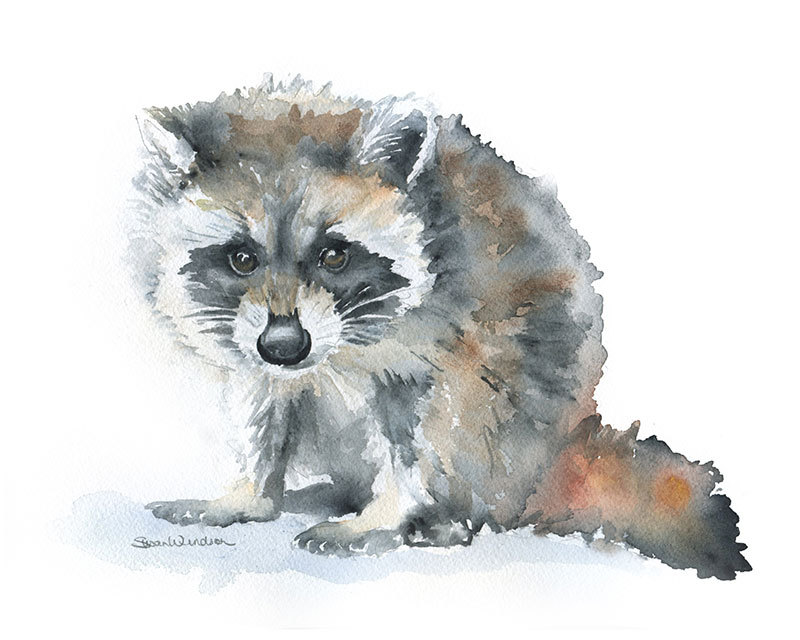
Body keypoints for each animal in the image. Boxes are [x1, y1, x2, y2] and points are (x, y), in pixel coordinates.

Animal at [130, 75, 750, 579]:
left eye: (335, 255)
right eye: (241, 259)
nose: (284, 346)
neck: (335, 348)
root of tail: (559, 448)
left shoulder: (443, 333)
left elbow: (419, 426)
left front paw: (387, 511)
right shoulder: (255, 346)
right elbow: (263, 404)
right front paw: (247, 491)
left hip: (520, 421)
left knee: (476, 418)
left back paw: (446, 517)